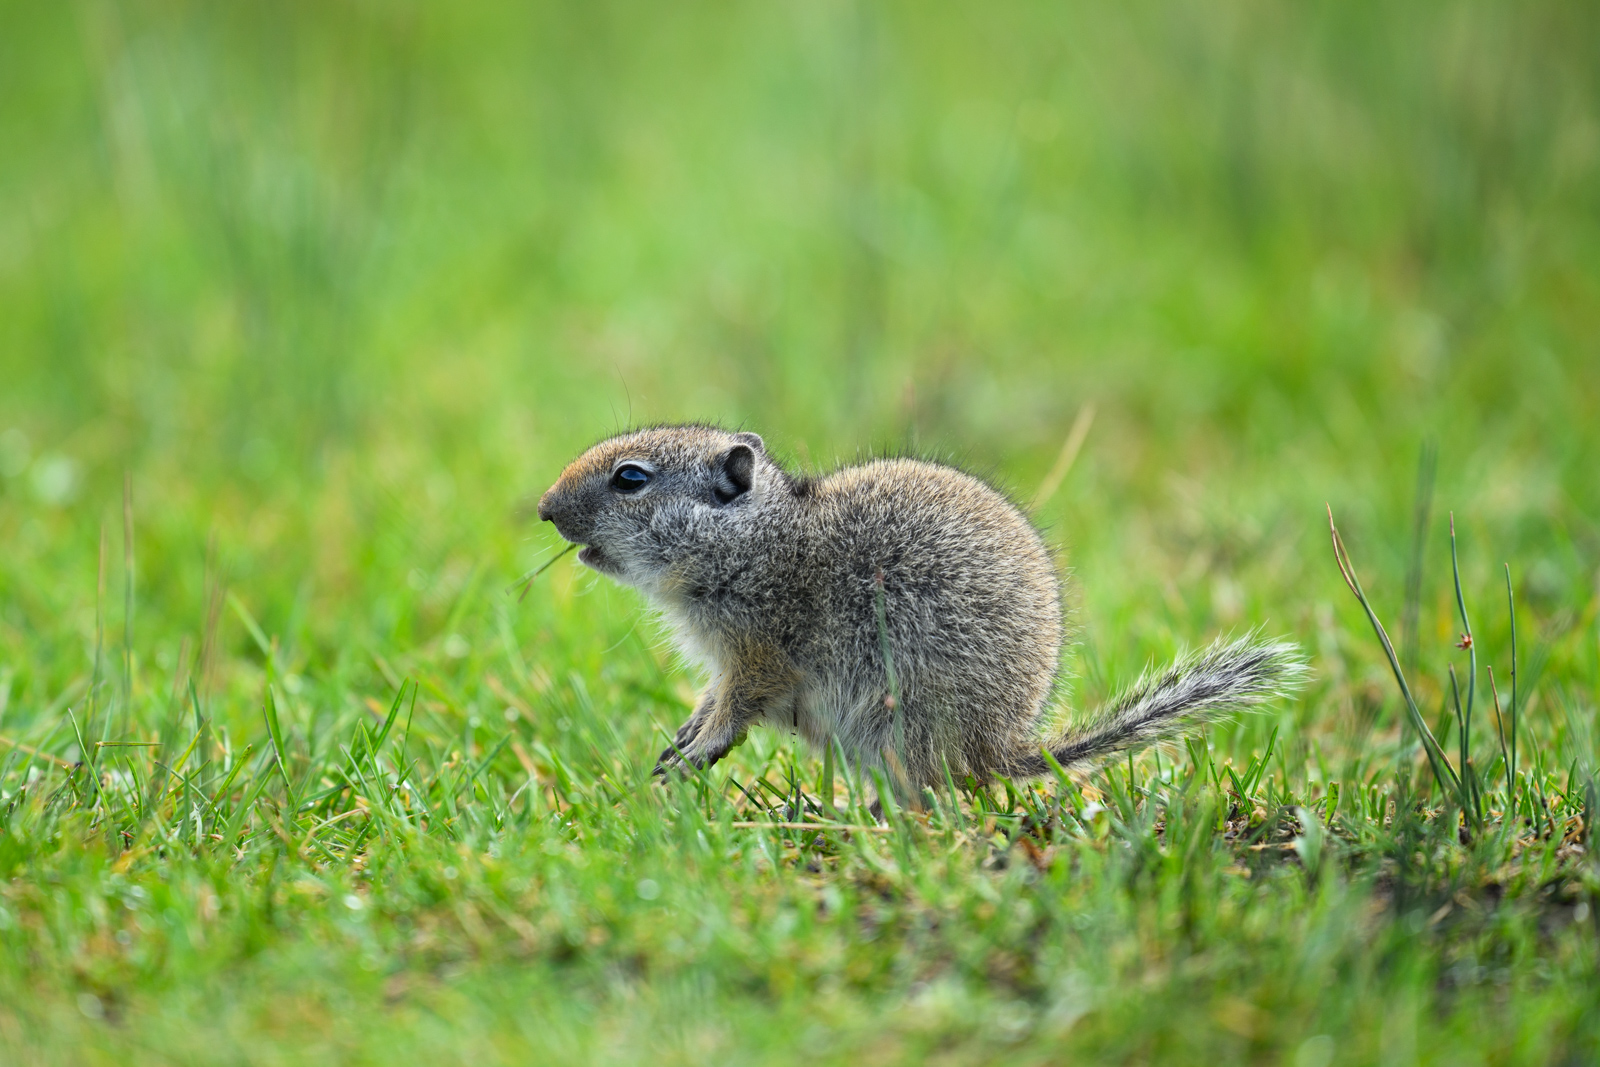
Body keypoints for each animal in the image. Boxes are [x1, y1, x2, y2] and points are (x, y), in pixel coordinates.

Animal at [537, 424, 1303, 792]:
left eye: (630, 478)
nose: (543, 508)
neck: (761, 541)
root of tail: (998, 748)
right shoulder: (727, 663)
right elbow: (710, 699)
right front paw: (680, 737)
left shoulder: (758, 653)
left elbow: (736, 710)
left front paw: (693, 754)